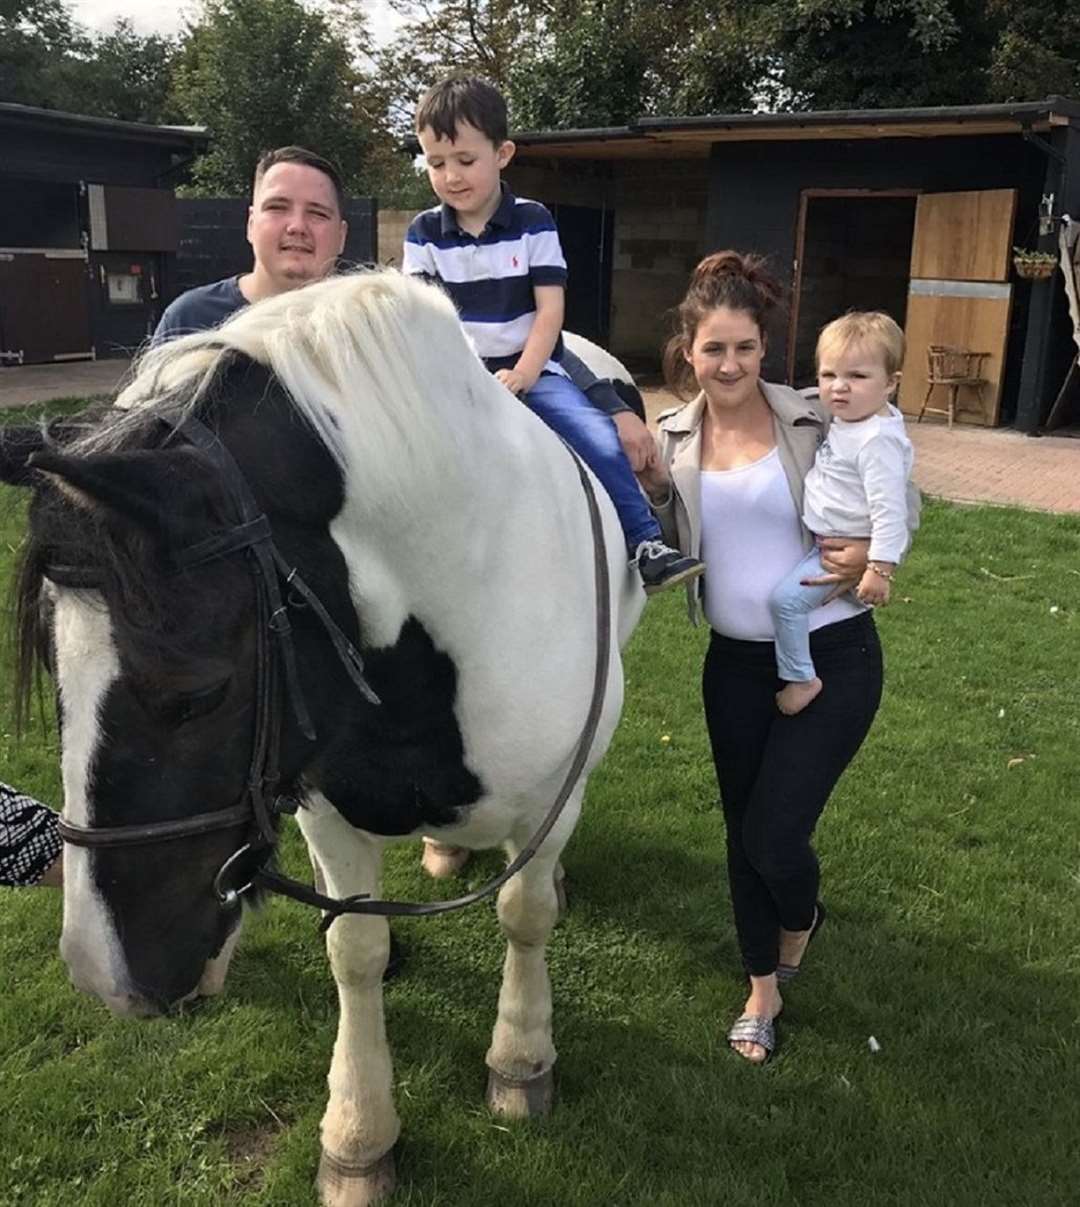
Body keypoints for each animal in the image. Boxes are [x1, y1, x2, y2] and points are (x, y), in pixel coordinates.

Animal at [2, 273, 641, 1207]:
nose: (107, 978)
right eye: (52, 665)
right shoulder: (325, 808)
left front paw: (521, 1059)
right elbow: (354, 948)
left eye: (199, 694)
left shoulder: (549, 793)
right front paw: (358, 1136)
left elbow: (525, 914)